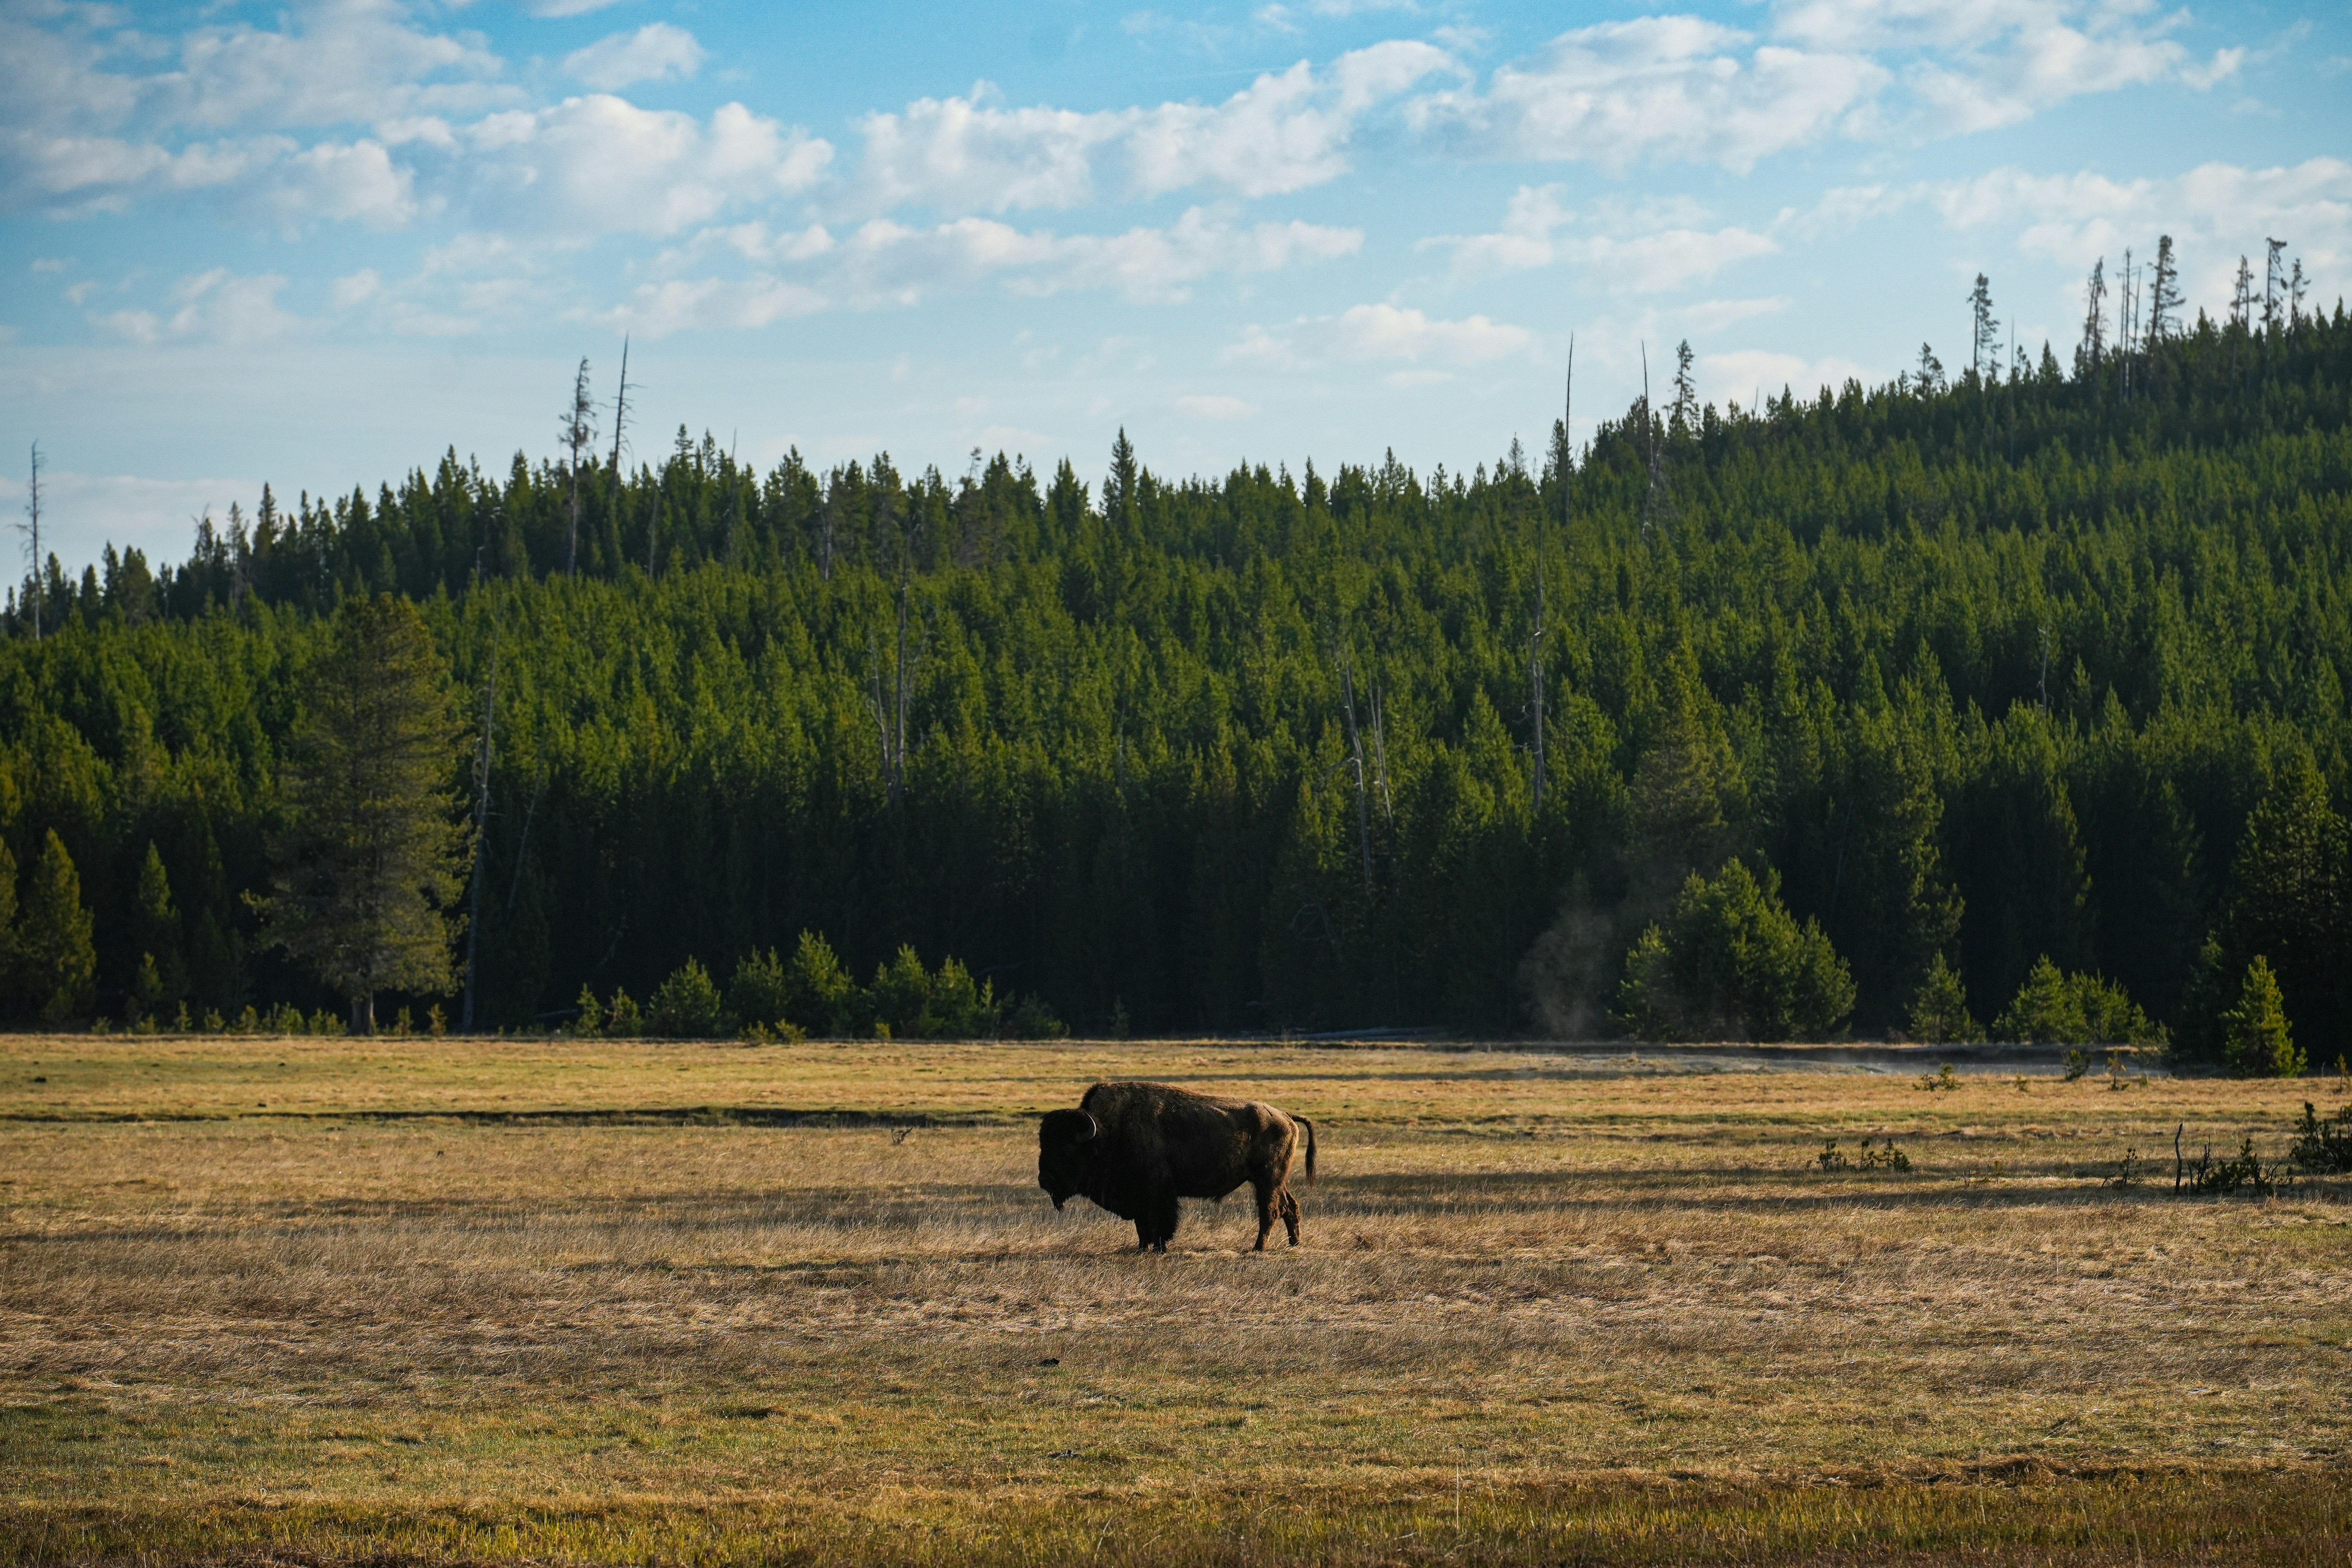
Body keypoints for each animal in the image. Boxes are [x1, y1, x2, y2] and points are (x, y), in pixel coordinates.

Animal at [1037, 1080, 1316, 1252]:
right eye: (1043, 1144)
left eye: (1067, 1149)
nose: (1044, 1180)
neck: (1107, 1133)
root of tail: (1286, 1116)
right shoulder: (1139, 1197)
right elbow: (1141, 1225)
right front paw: (1141, 1248)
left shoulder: (1158, 1192)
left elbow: (1160, 1222)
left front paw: (1160, 1249)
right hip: (1274, 1180)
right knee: (1290, 1206)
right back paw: (1294, 1244)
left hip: (1267, 1179)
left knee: (1270, 1211)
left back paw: (1257, 1248)